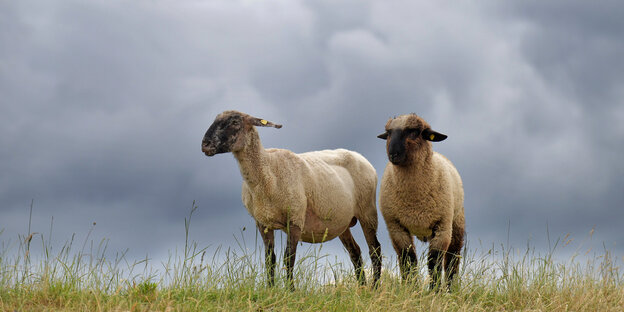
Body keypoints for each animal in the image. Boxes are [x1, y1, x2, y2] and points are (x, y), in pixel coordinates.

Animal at [202, 111, 382, 288]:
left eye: (234, 122)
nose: (205, 144)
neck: (268, 171)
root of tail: (360, 157)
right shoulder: (263, 223)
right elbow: (270, 259)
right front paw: (271, 289)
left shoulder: (295, 219)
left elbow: (289, 258)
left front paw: (290, 290)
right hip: (341, 222)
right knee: (355, 252)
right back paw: (362, 287)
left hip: (367, 211)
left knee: (375, 249)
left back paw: (374, 287)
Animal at [376, 114, 464, 290]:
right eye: (388, 133)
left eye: (414, 132)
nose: (393, 154)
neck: (415, 200)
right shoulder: (396, 227)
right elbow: (408, 260)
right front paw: (411, 289)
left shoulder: (442, 226)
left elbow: (434, 262)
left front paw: (434, 291)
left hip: (456, 223)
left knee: (452, 260)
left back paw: (450, 289)